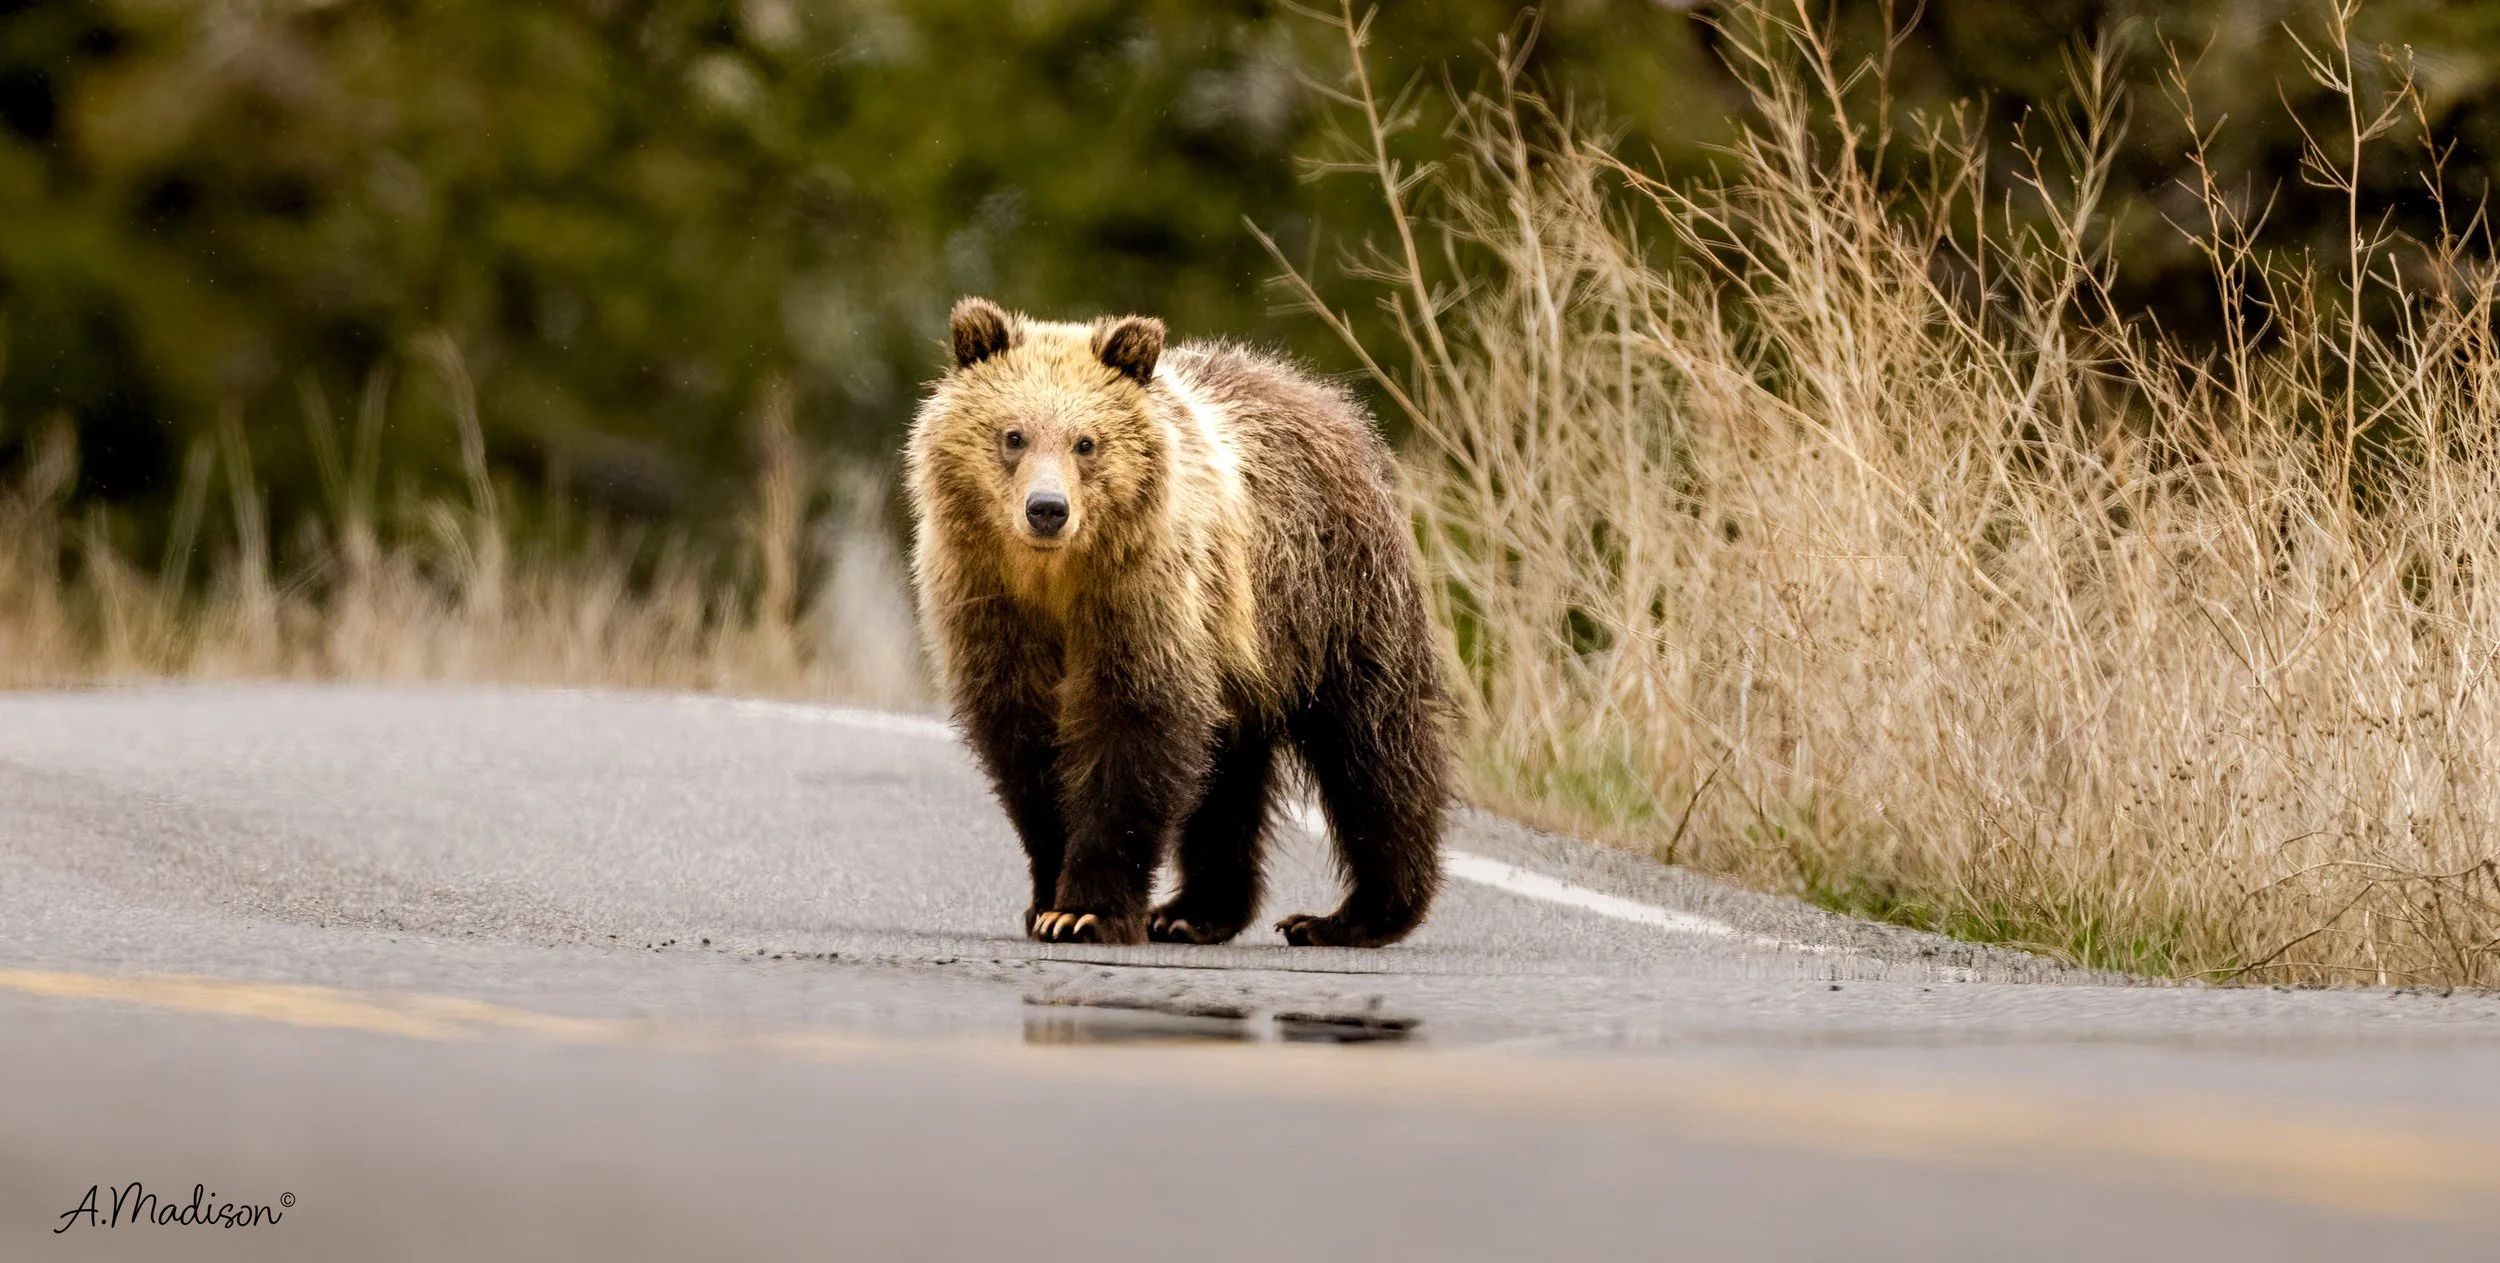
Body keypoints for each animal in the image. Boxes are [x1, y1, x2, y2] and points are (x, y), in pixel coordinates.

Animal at [904, 296, 1448, 948]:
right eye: (1014, 435)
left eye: (1086, 442)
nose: (1047, 509)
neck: (1056, 577)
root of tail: (1330, 402)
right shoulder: (989, 603)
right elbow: (1026, 745)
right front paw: (1047, 903)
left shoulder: (1145, 597)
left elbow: (1134, 730)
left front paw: (1086, 910)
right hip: (1246, 651)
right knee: (1228, 775)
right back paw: (1195, 911)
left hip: (1334, 597)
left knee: (1373, 746)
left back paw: (1352, 915)